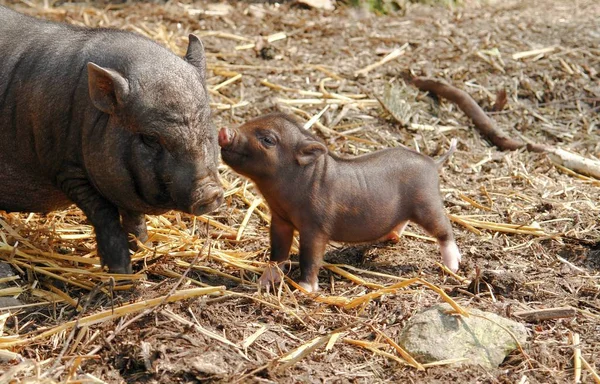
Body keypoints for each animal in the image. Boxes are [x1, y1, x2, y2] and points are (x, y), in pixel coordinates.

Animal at [0, 5, 225, 272]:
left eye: (207, 122)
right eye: (150, 137)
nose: (209, 193)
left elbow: (134, 217)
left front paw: (144, 250)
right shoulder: (65, 169)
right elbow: (104, 213)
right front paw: (121, 271)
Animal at [220, 112, 460, 292]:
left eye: (268, 140)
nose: (224, 132)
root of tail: (432, 162)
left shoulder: (316, 227)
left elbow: (310, 257)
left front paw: (305, 289)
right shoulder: (280, 221)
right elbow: (277, 253)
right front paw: (264, 282)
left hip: (427, 202)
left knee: (444, 229)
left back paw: (453, 266)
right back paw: (390, 237)